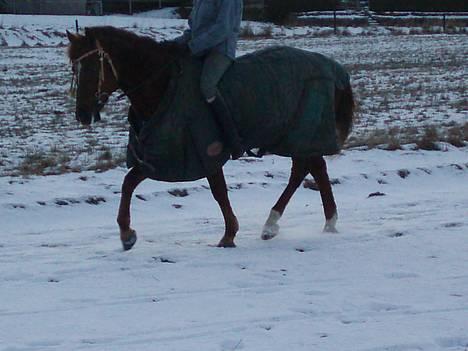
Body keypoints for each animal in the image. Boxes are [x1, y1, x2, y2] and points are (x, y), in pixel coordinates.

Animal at [65, 27, 352, 252]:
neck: (163, 86)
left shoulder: (202, 150)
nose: (82, 114)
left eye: (91, 67)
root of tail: (333, 67)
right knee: (311, 168)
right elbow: (129, 183)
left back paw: (282, 224)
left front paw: (229, 234)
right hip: (295, 135)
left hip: (301, 132)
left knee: (306, 168)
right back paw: (316, 222)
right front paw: (127, 235)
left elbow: (217, 191)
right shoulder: (156, 157)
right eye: (74, 68)